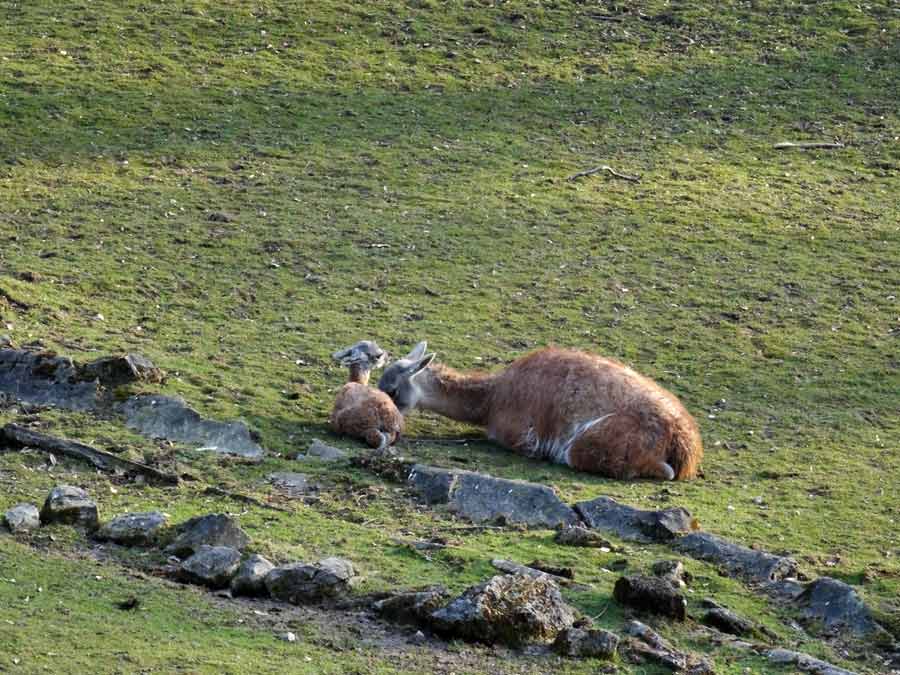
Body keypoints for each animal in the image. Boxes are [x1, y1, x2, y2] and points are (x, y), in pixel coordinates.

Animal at [378, 344, 704, 480]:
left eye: (392, 390)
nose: (390, 423)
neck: (491, 399)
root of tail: (684, 439)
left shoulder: (520, 434)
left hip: (592, 445)